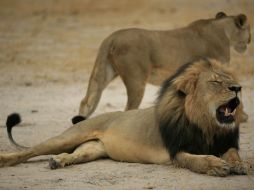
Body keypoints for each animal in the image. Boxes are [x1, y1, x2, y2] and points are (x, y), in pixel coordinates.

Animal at [0, 59, 248, 177]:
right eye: (216, 82)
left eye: (230, 80)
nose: (238, 88)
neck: (206, 125)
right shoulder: (176, 151)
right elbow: (197, 160)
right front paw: (215, 165)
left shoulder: (225, 142)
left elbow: (233, 154)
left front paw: (240, 165)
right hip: (68, 137)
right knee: (29, 151)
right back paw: (5, 160)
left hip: (93, 149)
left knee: (76, 154)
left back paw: (58, 161)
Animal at [74, 11, 251, 123]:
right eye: (249, 30)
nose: (250, 40)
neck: (224, 31)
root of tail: (111, 37)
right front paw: (241, 117)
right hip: (136, 80)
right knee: (128, 108)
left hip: (104, 72)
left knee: (86, 101)